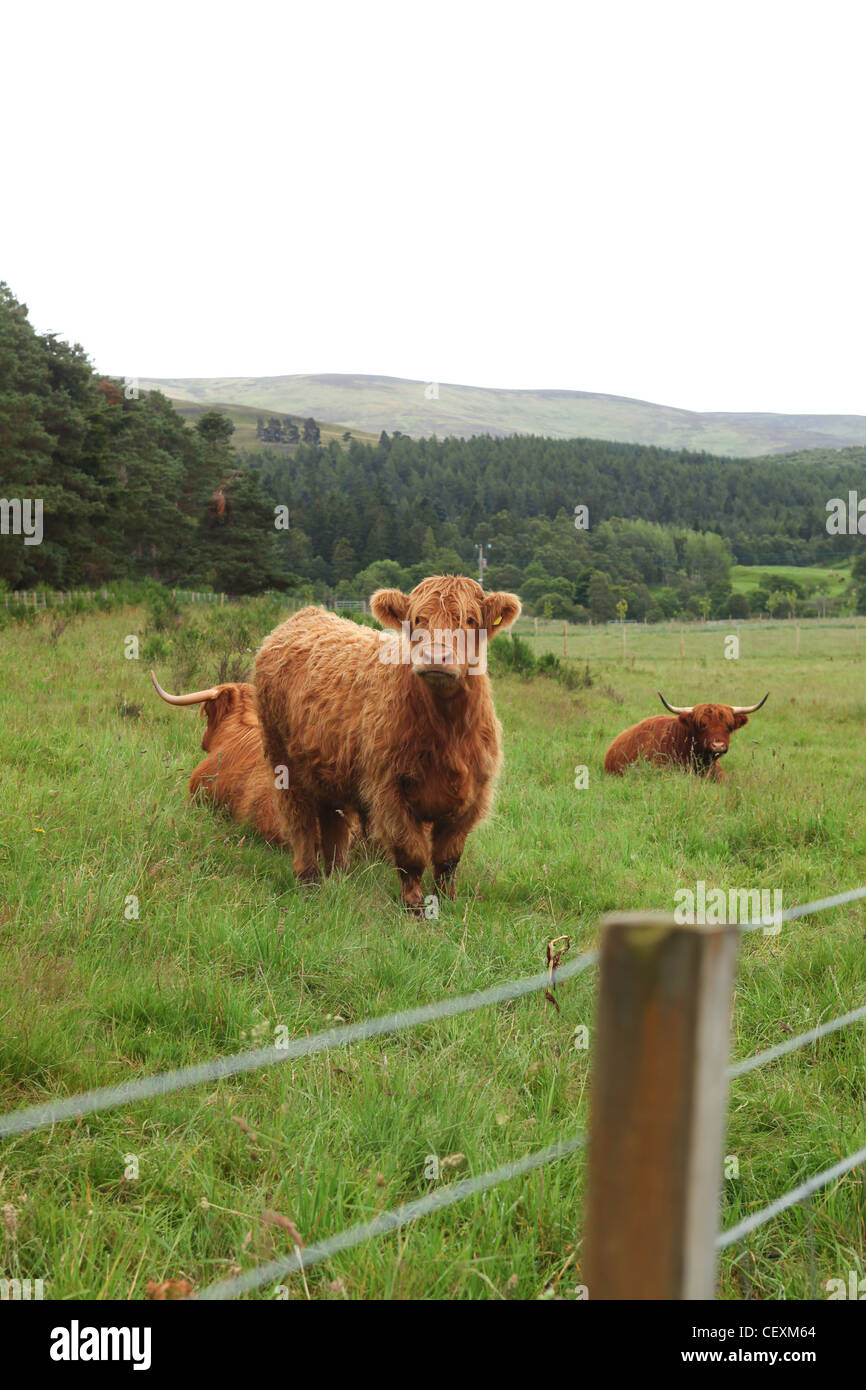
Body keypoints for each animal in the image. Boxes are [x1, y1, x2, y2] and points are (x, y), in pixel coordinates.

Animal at [254, 576, 521, 911]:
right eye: (417, 620)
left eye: (470, 620)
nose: (436, 657)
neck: (448, 730)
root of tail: (306, 615)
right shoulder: (390, 791)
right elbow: (412, 853)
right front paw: (415, 907)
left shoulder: (473, 795)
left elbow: (448, 858)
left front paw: (447, 902)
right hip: (282, 762)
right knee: (299, 821)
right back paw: (309, 880)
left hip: (327, 766)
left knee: (333, 823)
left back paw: (338, 876)